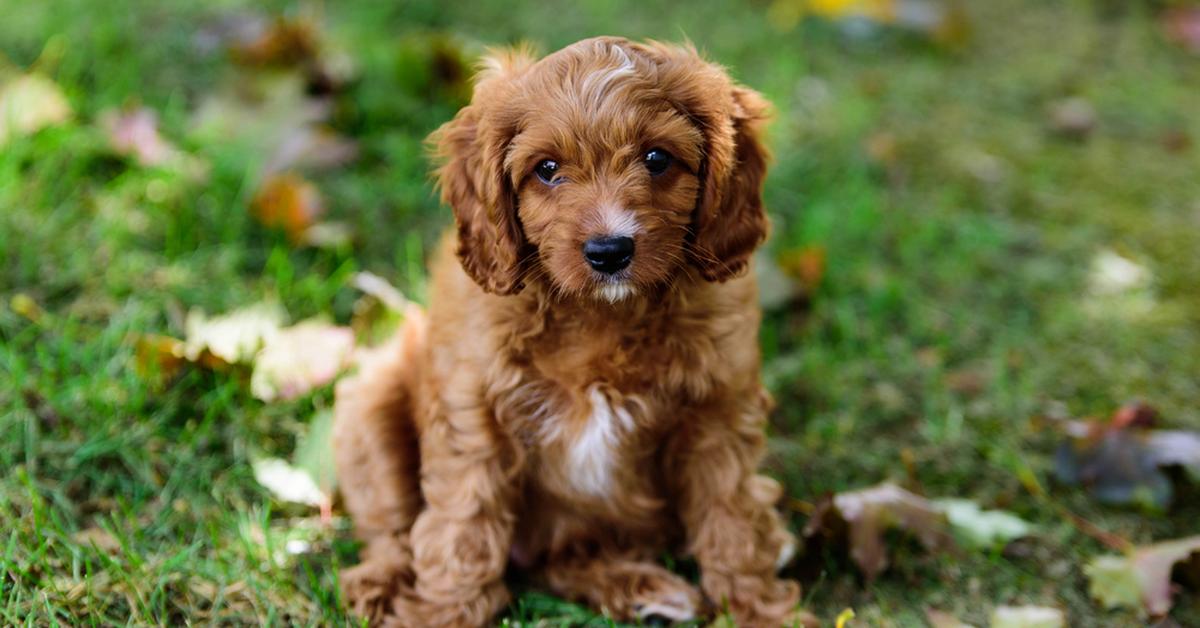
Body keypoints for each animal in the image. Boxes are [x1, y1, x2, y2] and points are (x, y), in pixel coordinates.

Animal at [336, 36, 806, 624]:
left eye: (657, 159)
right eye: (547, 168)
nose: (609, 251)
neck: (600, 315)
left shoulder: (720, 411)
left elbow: (734, 518)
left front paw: (761, 610)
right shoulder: (473, 411)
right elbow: (462, 526)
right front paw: (440, 613)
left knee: (558, 560)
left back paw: (643, 586)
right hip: (371, 404)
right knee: (393, 529)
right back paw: (379, 584)